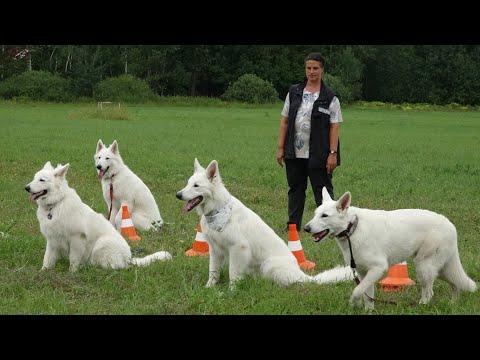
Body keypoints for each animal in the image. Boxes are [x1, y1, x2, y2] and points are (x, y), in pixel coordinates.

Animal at [25, 160, 172, 270]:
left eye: (42, 180)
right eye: (34, 178)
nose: (26, 188)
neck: (55, 204)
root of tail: (129, 259)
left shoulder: (76, 239)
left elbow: (73, 261)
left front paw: (72, 274)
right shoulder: (52, 240)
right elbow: (47, 259)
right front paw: (43, 272)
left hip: (101, 244)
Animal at [176, 159, 352, 292]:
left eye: (196, 186)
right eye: (188, 184)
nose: (178, 195)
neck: (218, 210)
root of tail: (305, 276)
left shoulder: (238, 249)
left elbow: (233, 273)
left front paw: (231, 291)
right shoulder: (215, 250)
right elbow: (213, 272)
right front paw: (209, 288)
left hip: (269, 265)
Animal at [304, 186, 476, 310]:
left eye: (324, 216)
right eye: (315, 214)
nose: (305, 228)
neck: (352, 227)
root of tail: (451, 225)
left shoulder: (378, 268)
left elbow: (357, 290)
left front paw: (354, 302)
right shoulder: (363, 271)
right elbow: (367, 294)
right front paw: (368, 310)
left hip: (424, 267)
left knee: (429, 292)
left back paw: (422, 306)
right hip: (439, 269)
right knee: (455, 285)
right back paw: (452, 304)